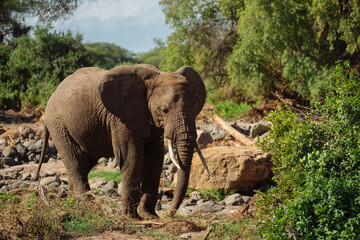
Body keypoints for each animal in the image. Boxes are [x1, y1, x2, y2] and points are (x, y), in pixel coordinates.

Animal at [35, 63, 208, 219]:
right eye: (164, 110)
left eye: (195, 107)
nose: (169, 214)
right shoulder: (120, 120)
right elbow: (132, 158)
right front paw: (132, 218)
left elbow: (154, 160)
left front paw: (150, 217)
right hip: (58, 124)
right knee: (76, 162)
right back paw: (92, 210)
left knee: (84, 163)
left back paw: (77, 207)